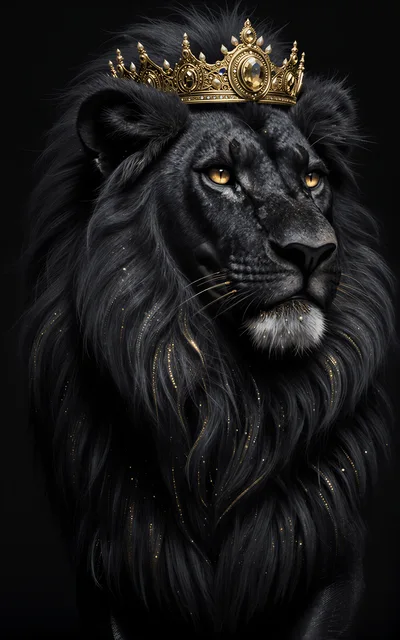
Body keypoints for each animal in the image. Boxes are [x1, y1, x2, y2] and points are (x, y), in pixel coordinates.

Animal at [21, 4, 395, 639]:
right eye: (220, 175)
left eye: (313, 178)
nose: (314, 251)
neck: (237, 403)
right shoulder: (109, 563)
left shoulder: (333, 559)